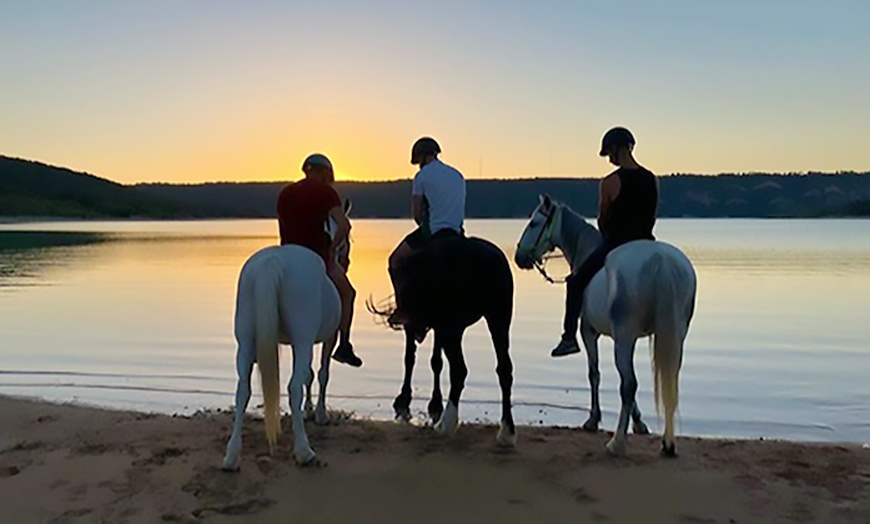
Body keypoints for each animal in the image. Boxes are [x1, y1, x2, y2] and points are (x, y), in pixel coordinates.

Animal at [374, 235, 516, 444]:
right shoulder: (441, 326)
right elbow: (436, 361)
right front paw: (434, 402)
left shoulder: (421, 324)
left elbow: (410, 358)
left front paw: (404, 398)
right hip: (498, 317)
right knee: (504, 369)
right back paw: (507, 430)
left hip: (452, 326)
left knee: (459, 370)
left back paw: (446, 423)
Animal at [516, 194, 696, 456]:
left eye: (533, 223)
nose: (519, 257)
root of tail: (661, 261)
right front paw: (639, 422)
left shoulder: (588, 332)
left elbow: (594, 374)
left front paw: (593, 419)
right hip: (673, 336)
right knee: (667, 381)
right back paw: (667, 445)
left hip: (624, 336)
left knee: (629, 385)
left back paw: (616, 443)